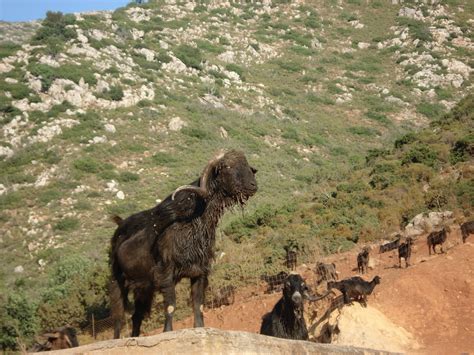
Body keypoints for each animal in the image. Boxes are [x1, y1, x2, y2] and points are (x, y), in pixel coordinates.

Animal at [109, 151, 258, 340]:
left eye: (246, 165)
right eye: (227, 166)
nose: (253, 185)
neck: (191, 220)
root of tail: (120, 224)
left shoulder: (200, 271)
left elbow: (198, 304)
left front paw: (200, 328)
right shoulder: (166, 272)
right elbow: (171, 305)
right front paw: (167, 331)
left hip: (143, 286)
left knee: (137, 315)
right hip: (117, 279)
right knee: (119, 316)